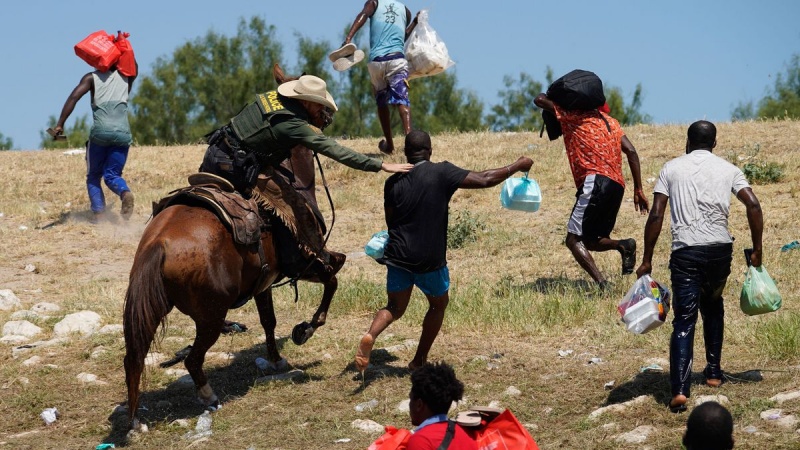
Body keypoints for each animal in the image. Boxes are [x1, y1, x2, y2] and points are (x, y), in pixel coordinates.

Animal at [125, 64, 346, 432]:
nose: (330, 114)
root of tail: (158, 244)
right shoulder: (307, 261)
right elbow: (333, 278)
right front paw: (305, 330)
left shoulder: (264, 282)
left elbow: (269, 320)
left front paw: (276, 358)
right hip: (212, 316)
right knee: (193, 359)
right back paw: (208, 396)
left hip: (155, 307)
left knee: (134, 356)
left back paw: (134, 417)